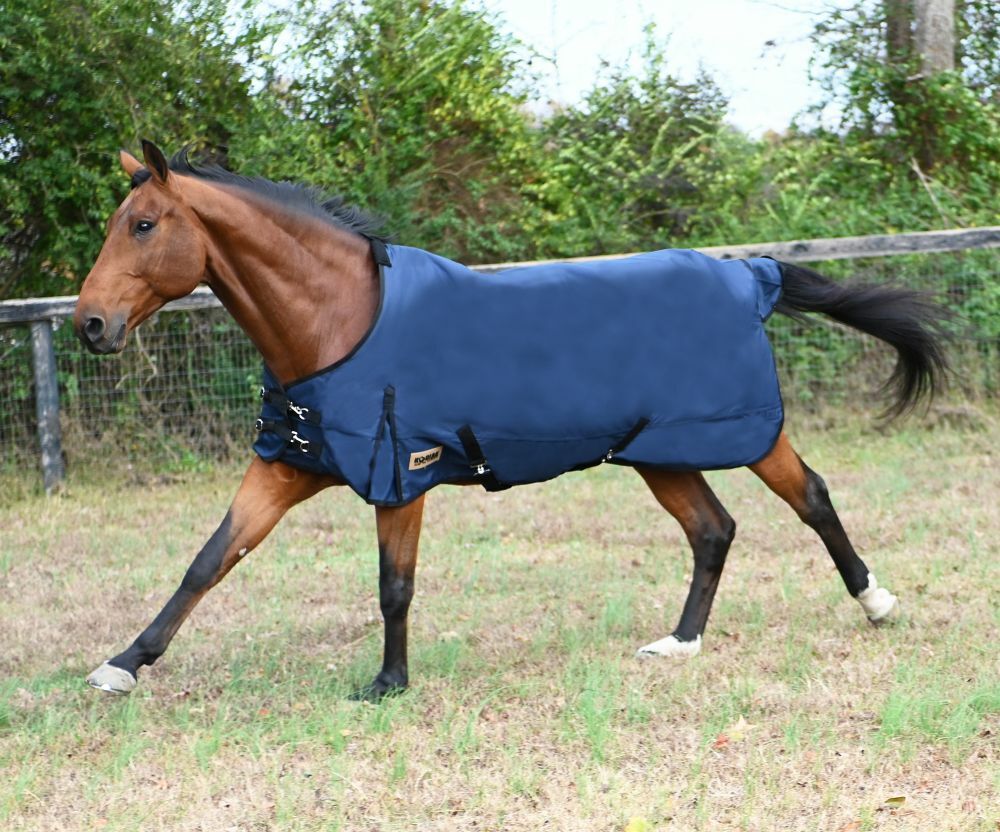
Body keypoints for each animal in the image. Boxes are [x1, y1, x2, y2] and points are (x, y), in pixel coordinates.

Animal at [74, 141, 948, 699]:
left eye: (143, 225)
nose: (90, 325)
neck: (339, 321)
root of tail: (752, 275)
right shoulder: (287, 465)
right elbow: (208, 561)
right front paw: (122, 664)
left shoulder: (402, 473)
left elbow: (394, 584)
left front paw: (388, 683)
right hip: (659, 452)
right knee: (713, 530)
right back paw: (679, 643)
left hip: (745, 433)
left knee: (811, 499)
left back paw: (877, 603)